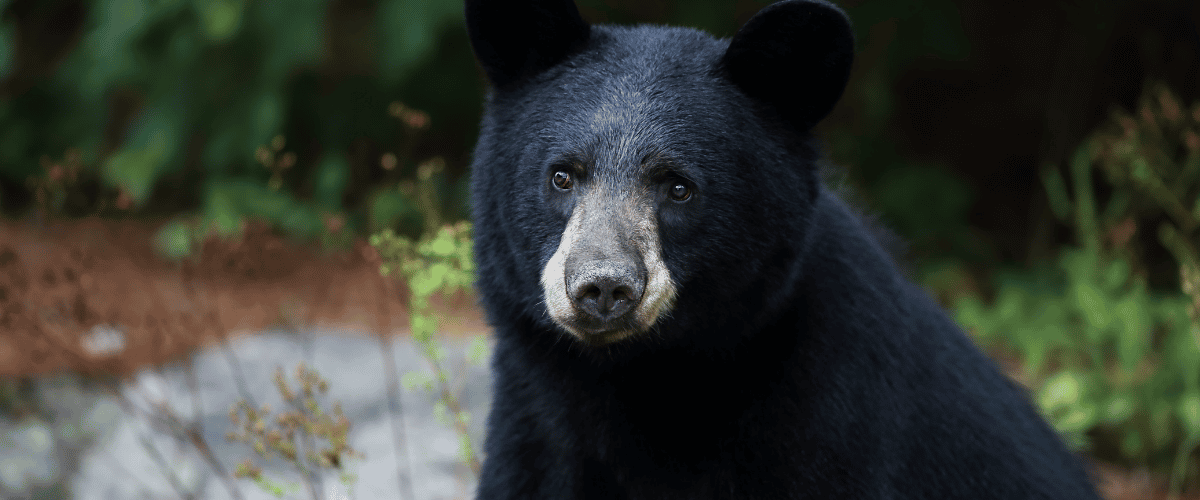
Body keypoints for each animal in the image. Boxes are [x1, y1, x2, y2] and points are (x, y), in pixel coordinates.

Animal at [464, 0, 1102, 498]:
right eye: (562, 176)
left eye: (679, 187)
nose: (603, 287)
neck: (646, 383)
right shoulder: (537, 440)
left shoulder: (831, 424)